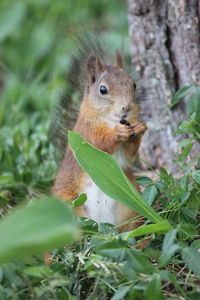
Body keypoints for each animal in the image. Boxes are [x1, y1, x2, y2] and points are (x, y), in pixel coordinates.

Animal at [51, 45, 147, 232]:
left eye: (133, 84)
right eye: (103, 90)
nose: (127, 108)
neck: (111, 120)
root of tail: (103, 226)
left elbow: (129, 156)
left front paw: (140, 128)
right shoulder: (85, 132)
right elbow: (98, 143)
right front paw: (117, 133)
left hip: (131, 204)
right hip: (68, 204)